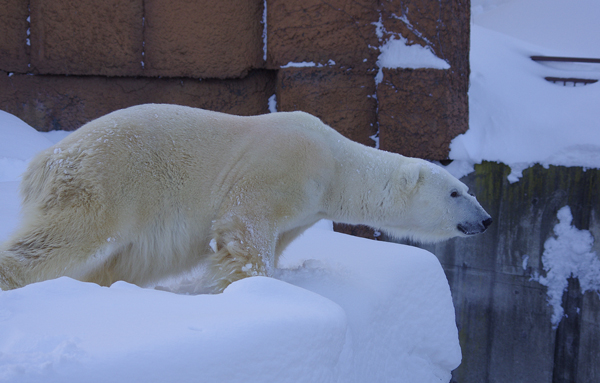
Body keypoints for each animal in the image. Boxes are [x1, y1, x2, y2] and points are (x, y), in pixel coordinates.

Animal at [0, 103, 492, 292]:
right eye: (456, 191)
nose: (486, 220)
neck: (335, 162)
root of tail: (44, 160)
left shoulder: (304, 212)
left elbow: (274, 240)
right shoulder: (283, 167)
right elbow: (245, 226)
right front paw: (250, 285)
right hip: (107, 183)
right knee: (66, 238)